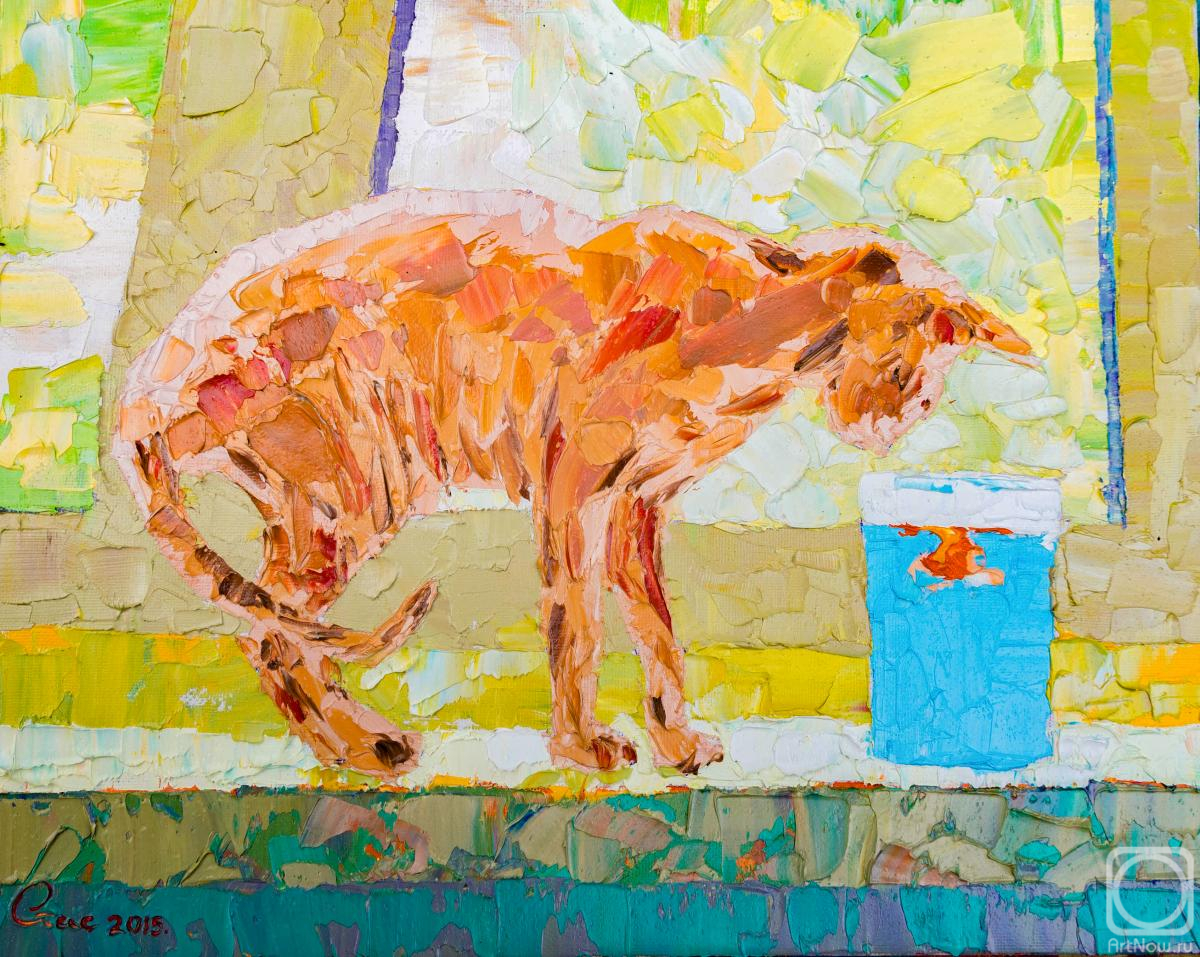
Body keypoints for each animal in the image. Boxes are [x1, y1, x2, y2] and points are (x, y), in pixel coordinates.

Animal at [114, 188, 1032, 780]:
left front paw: (675, 745)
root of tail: (160, 368)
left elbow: (659, 633)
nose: (889, 421)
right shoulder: (572, 481)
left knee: (272, 626)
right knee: (272, 632)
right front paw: (583, 748)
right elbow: (577, 626)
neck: (754, 329)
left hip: (319, 503)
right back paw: (364, 749)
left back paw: (356, 745)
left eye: (926, 382)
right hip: (360, 490)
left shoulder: (636, 506)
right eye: (900, 362)